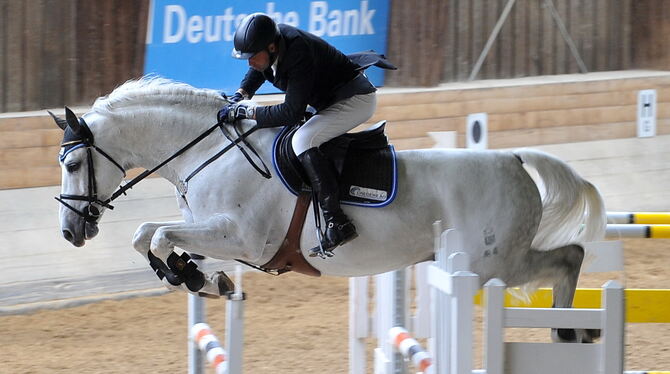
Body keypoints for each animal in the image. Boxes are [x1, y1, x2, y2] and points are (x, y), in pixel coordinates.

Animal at [52, 78, 608, 342]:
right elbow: (148, 234)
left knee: (571, 255)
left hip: (492, 264)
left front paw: (193, 277)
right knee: (569, 255)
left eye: (75, 162)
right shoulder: (208, 229)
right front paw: (201, 279)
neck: (207, 151)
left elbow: (158, 235)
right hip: (485, 263)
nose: (70, 232)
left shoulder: (242, 238)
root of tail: (513, 159)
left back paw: (567, 327)